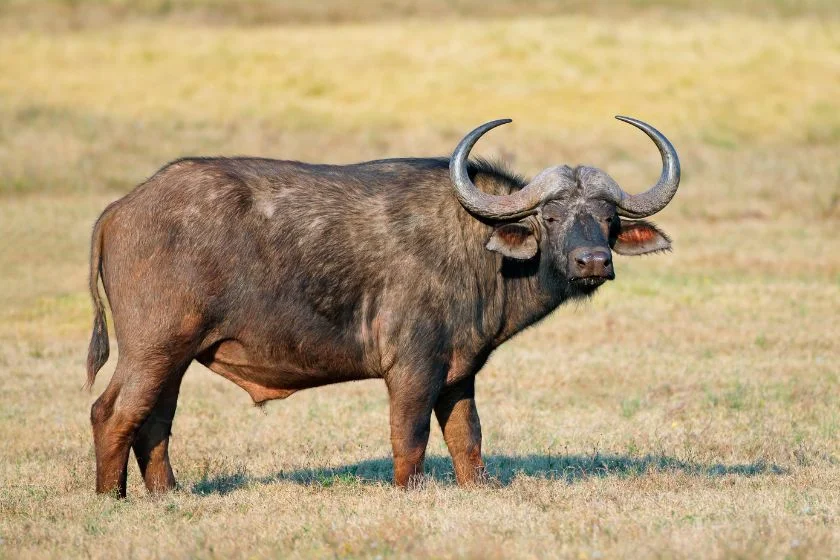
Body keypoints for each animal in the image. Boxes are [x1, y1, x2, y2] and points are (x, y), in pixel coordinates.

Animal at [87, 116, 676, 496]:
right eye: (550, 218)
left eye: (608, 217)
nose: (592, 261)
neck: (475, 243)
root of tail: (121, 208)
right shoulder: (412, 369)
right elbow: (410, 437)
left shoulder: (459, 372)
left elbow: (467, 438)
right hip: (153, 348)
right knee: (113, 412)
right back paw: (110, 498)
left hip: (176, 357)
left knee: (155, 421)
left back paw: (168, 494)